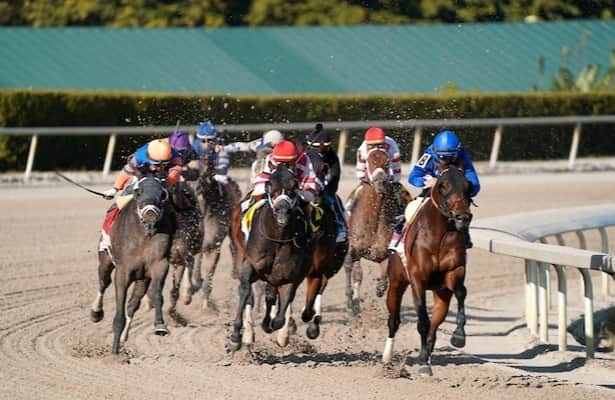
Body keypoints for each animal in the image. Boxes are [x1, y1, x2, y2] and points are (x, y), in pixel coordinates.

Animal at [88, 175, 173, 354]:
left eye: (162, 195)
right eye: (138, 192)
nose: (150, 218)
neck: (143, 236)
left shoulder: (159, 265)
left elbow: (156, 294)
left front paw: (160, 326)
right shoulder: (123, 271)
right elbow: (119, 310)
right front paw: (114, 352)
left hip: (142, 279)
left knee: (133, 304)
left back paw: (124, 337)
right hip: (105, 260)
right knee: (103, 283)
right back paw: (96, 313)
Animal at [229, 163, 312, 350]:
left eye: (294, 184)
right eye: (270, 184)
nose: (282, 210)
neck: (278, 238)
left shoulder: (290, 277)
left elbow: (281, 312)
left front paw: (274, 326)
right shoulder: (250, 264)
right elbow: (245, 291)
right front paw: (236, 336)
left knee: (271, 294)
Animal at [344, 146, 406, 316]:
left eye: (387, 162)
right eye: (369, 161)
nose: (380, 181)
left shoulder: (384, 252)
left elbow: (385, 277)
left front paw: (379, 289)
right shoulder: (354, 248)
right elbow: (353, 271)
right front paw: (352, 302)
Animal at [382, 164, 474, 376]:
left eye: (468, 186)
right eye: (442, 185)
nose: (463, 217)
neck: (440, 235)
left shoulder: (455, 270)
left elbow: (461, 292)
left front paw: (458, 336)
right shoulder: (417, 278)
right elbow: (422, 319)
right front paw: (424, 363)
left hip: (441, 293)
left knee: (436, 321)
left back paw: (427, 352)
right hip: (396, 283)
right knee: (394, 320)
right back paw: (388, 356)